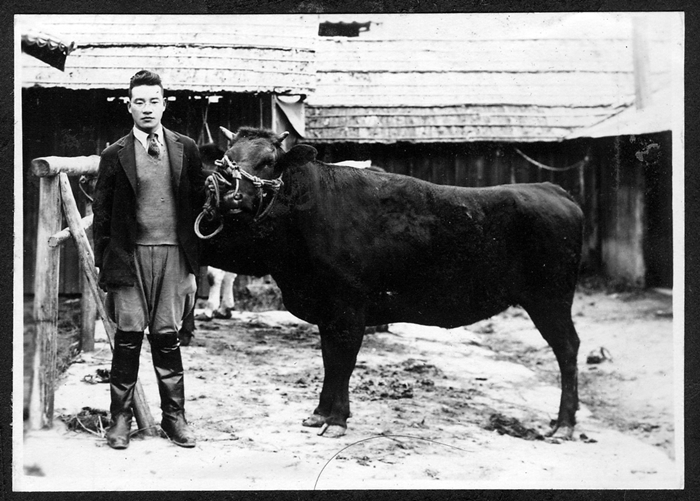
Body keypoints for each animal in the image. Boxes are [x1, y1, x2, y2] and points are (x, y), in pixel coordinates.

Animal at [194, 128, 584, 438]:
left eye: (270, 161)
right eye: (228, 160)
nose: (233, 197)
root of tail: (551, 188)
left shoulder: (349, 307)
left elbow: (343, 361)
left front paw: (335, 421)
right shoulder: (327, 310)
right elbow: (329, 359)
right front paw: (320, 413)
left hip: (551, 299)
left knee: (567, 349)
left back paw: (564, 424)